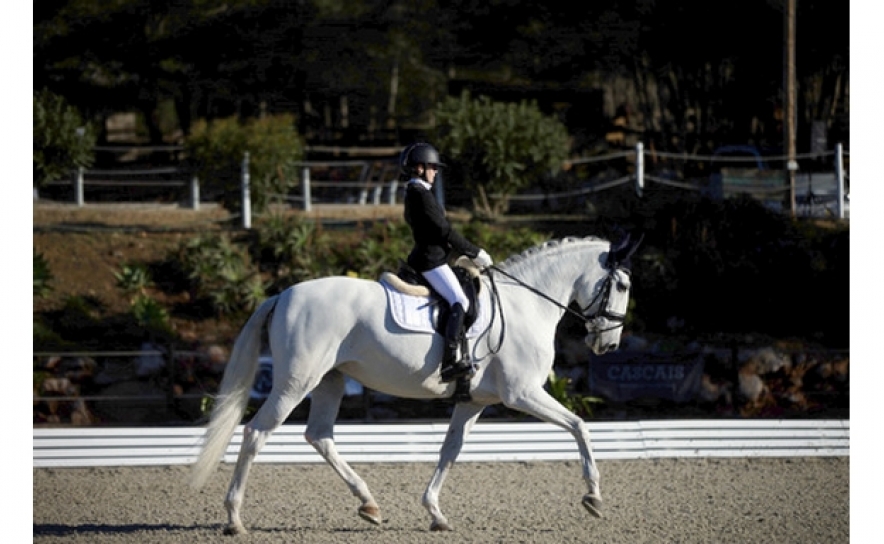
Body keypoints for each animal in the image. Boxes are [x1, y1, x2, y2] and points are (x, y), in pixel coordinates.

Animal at [190, 233, 640, 532]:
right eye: (621, 285)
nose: (609, 343)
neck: (525, 304)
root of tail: (283, 294)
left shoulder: (474, 401)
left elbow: (450, 451)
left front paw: (435, 512)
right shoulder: (523, 393)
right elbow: (580, 426)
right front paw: (593, 497)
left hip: (329, 380)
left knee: (319, 435)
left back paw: (369, 505)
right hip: (295, 382)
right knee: (255, 433)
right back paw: (234, 518)